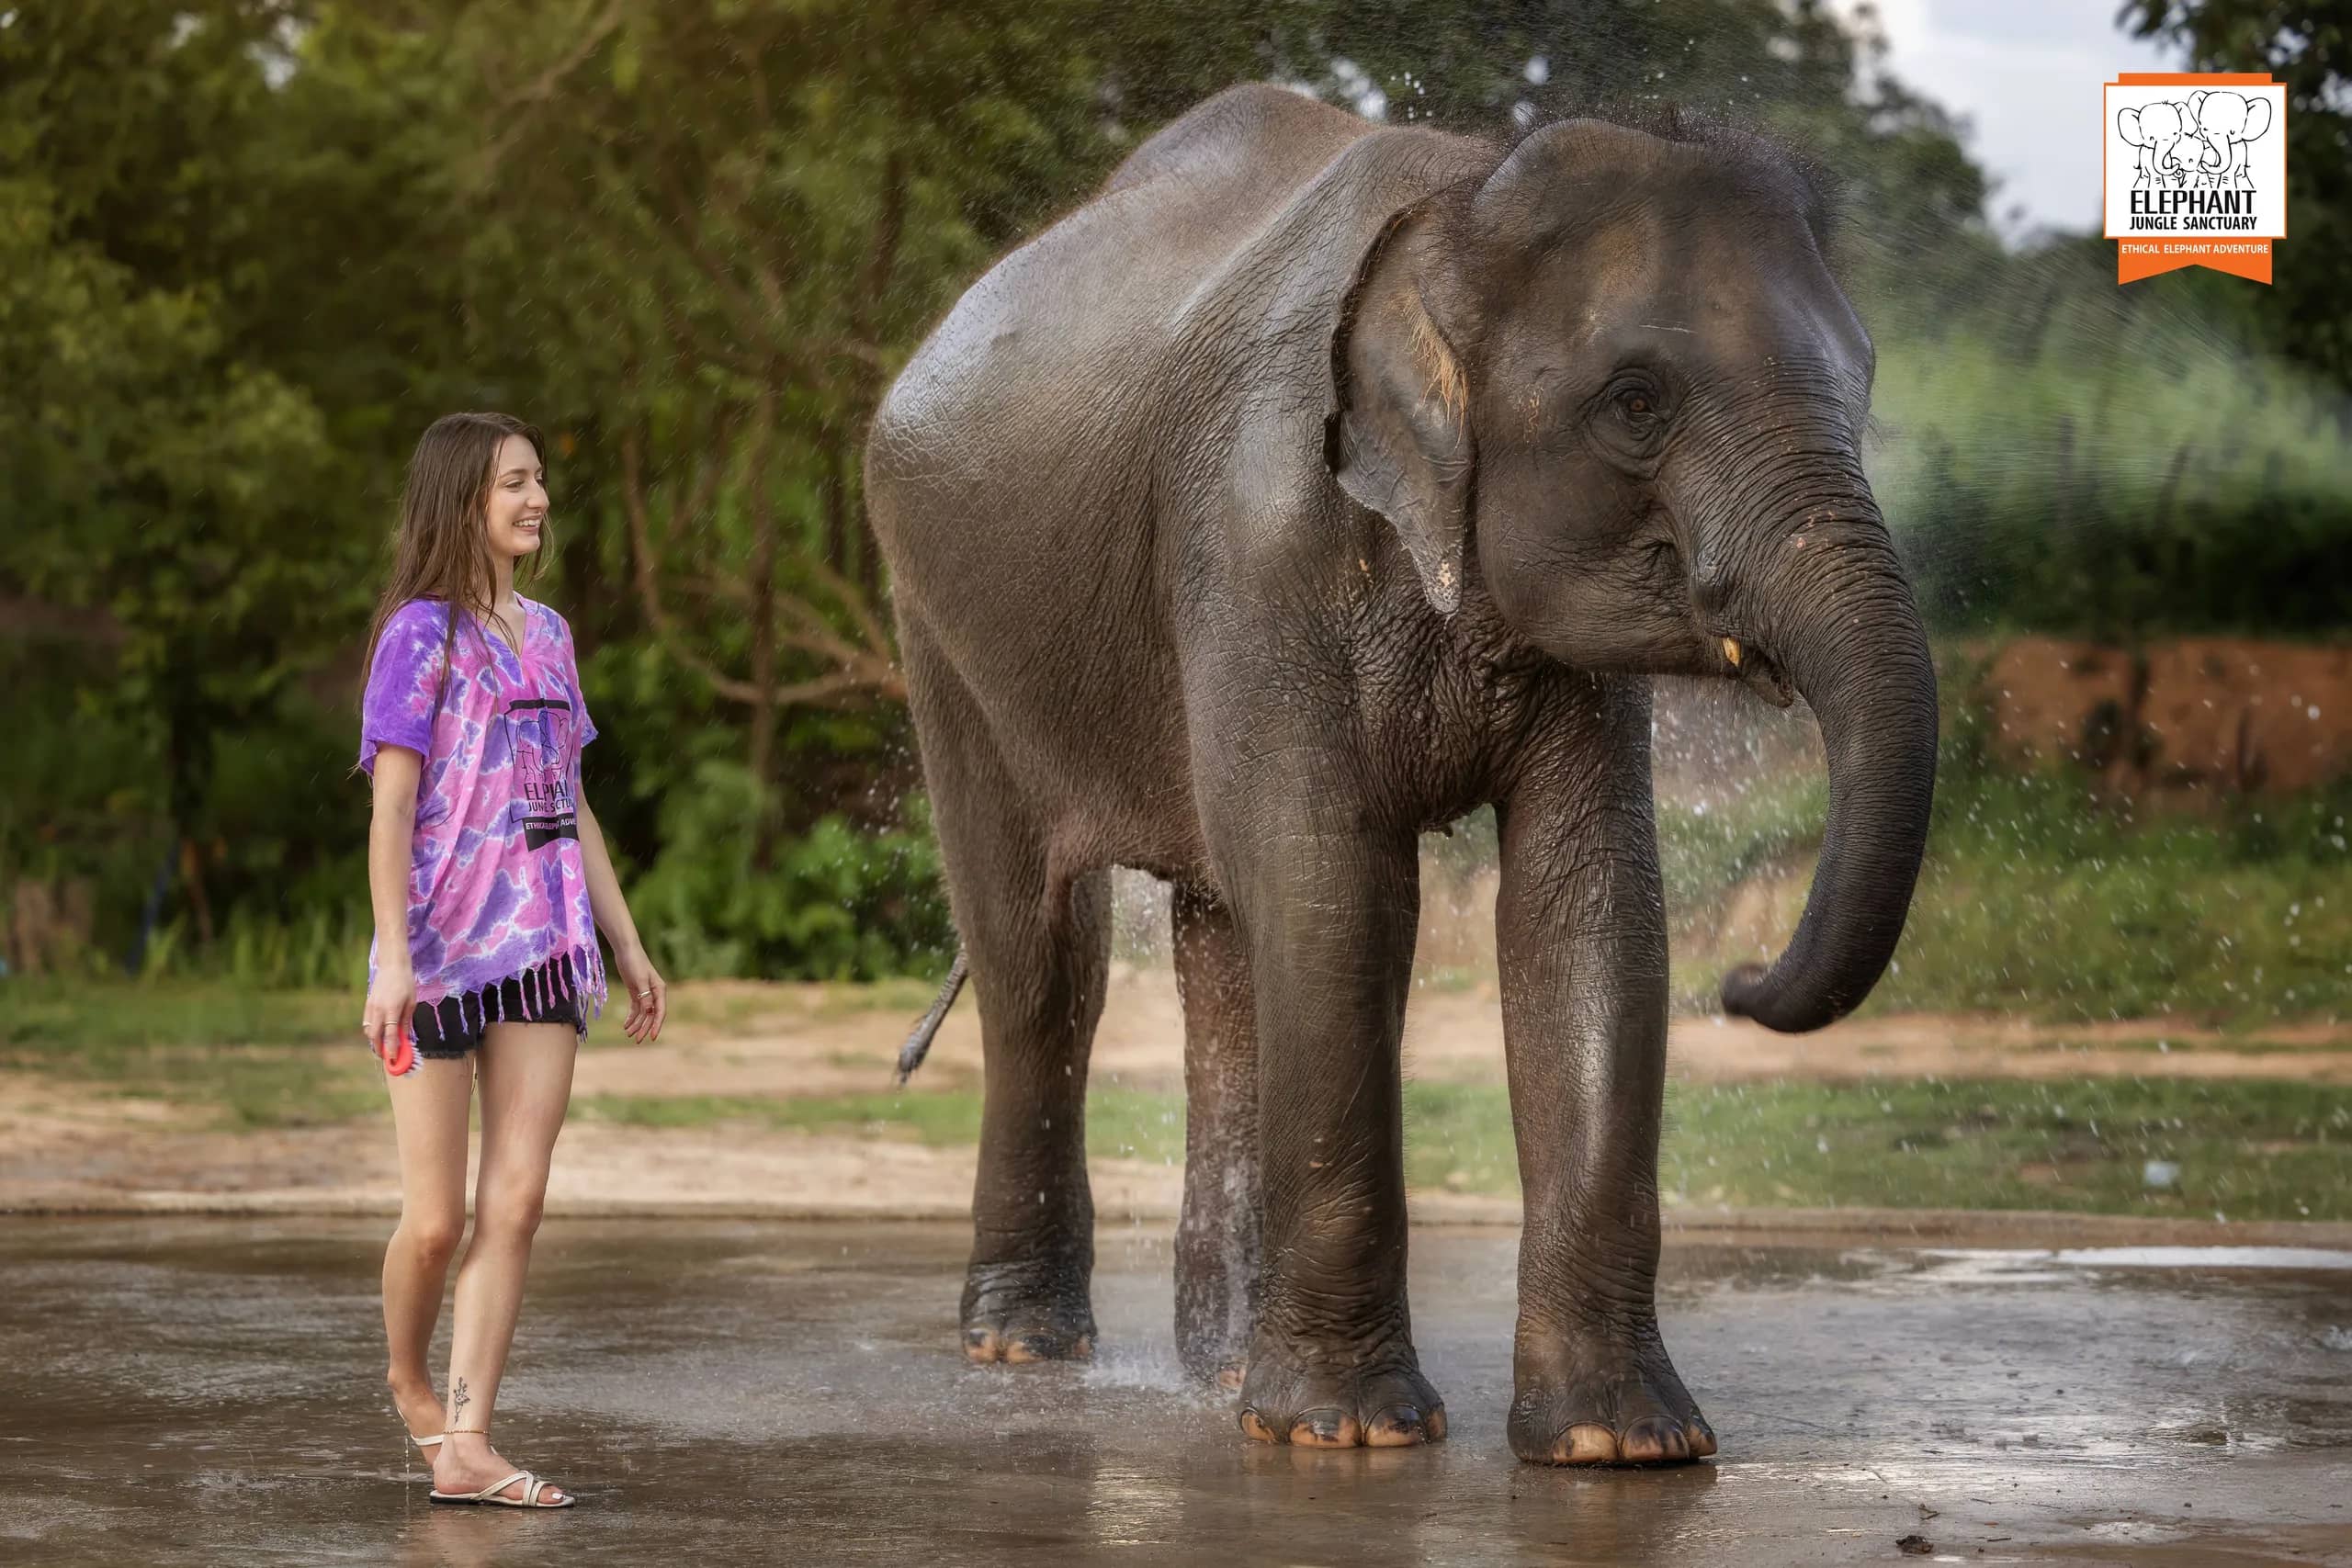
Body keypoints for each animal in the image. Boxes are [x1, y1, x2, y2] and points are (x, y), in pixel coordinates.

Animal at [865, 84, 1938, 1466]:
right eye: (1636, 402)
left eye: (1863, 382)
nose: (1744, 978)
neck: (1462, 204)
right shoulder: (1260, 544)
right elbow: (1340, 896)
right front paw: (1349, 1434)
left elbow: (1586, 913)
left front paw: (1621, 1446)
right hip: (943, 631)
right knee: (1044, 965)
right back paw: (1027, 1347)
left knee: (1223, 953)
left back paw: (1222, 1367)